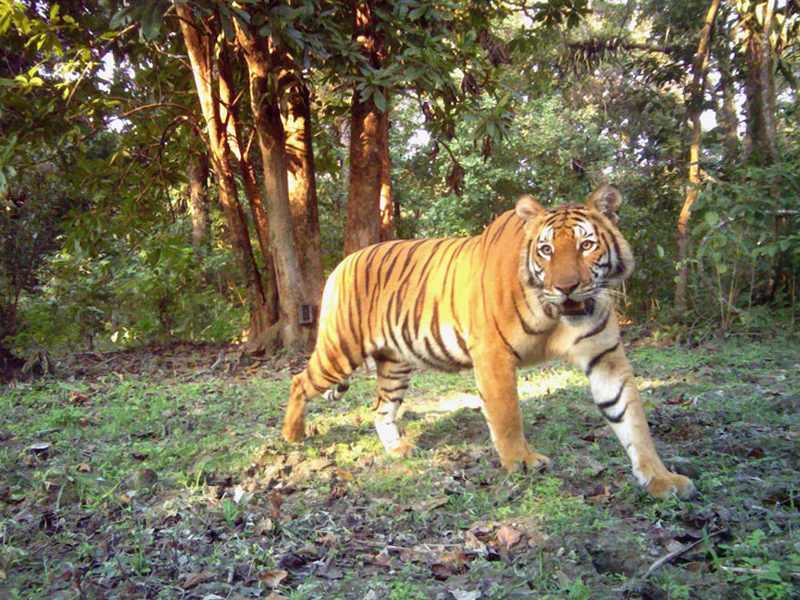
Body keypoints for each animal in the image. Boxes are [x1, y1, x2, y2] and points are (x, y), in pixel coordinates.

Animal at [282, 185, 692, 500]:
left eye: (587, 244)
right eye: (546, 250)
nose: (566, 287)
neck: (557, 315)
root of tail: (341, 263)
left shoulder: (606, 358)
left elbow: (632, 420)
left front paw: (661, 479)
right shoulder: (493, 353)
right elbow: (507, 414)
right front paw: (523, 462)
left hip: (395, 362)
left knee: (381, 408)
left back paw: (397, 448)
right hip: (341, 350)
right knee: (300, 381)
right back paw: (293, 435)